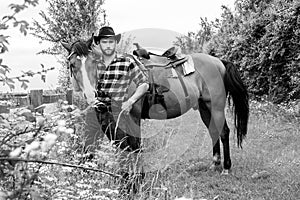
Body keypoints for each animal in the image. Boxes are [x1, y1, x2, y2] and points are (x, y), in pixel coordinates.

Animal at [60, 39, 248, 174]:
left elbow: (134, 146)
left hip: (216, 106)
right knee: (213, 131)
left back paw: (226, 167)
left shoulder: (132, 117)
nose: (91, 95)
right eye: (72, 65)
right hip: (204, 107)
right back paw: (215, 164)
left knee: (223, 132)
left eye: (93, 62)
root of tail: (218, 62)